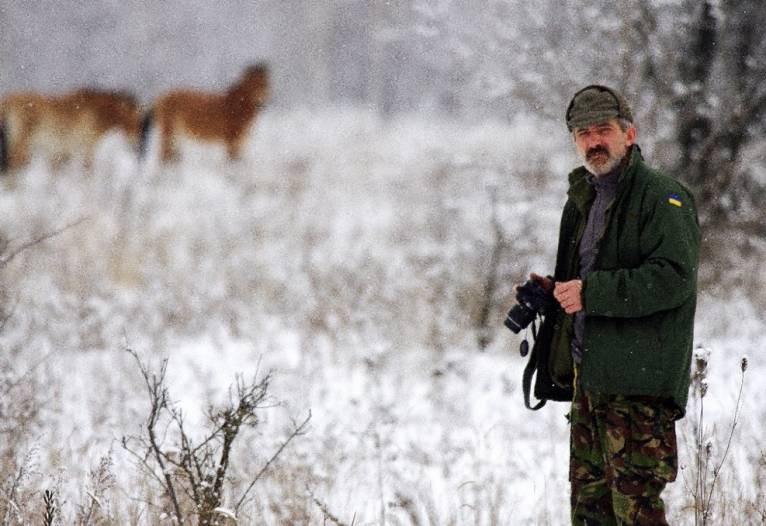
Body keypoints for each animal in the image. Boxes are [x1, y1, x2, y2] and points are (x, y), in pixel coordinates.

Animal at [0, 88, 144, 173]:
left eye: (139, 125)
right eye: (132, 123)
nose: (136, 144)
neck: (96, 112)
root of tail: (9, 100)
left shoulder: (67, 152)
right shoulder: (87, 147)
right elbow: (87, 168)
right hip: (22, 146)